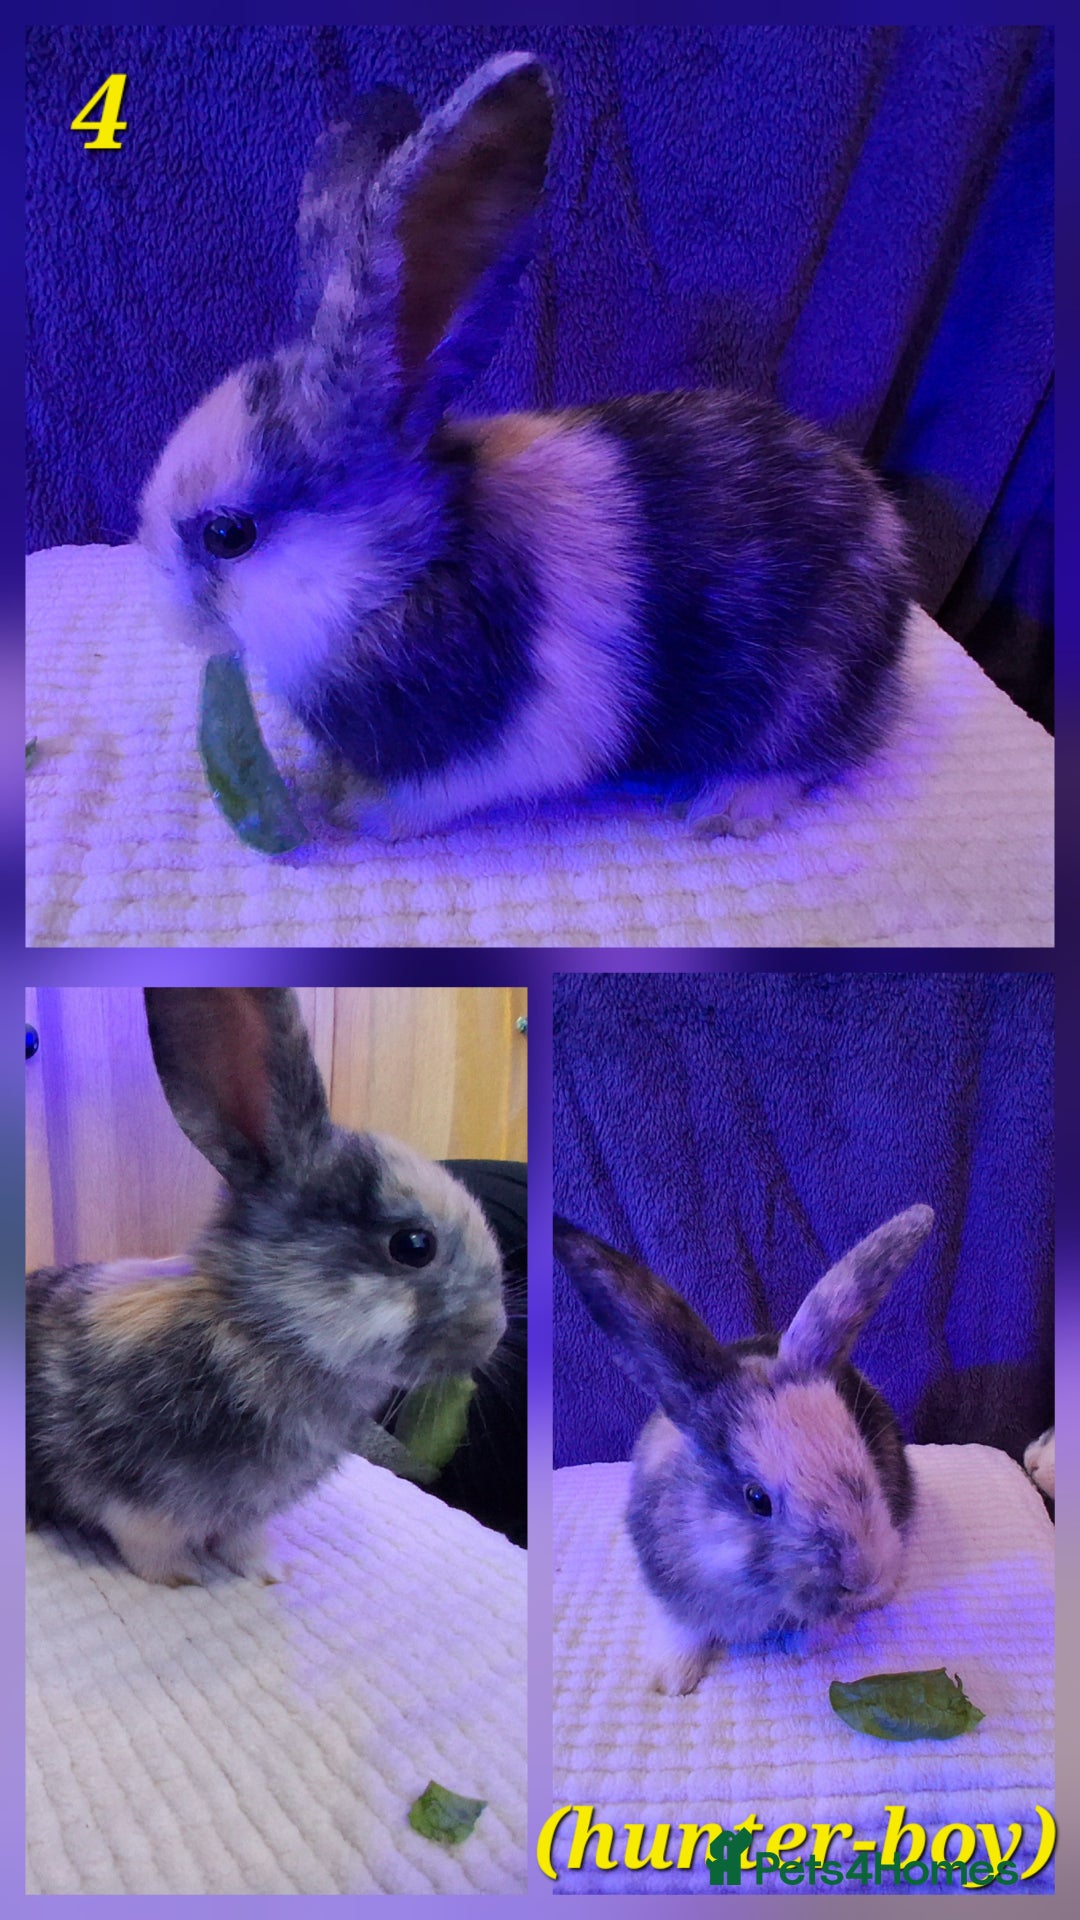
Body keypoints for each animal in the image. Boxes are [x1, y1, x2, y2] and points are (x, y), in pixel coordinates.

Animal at [26, 989, 506, 1586]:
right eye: (413, 1245)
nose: (493, 1332)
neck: (261, 1330)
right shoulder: (133, 1498)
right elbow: (149, 1546)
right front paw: (185, 1579)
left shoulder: (248, 1510)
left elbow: (244, 1540)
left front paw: (270, 1571)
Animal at [137, 51, 914, 843]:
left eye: (229, 535)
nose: (171, 617)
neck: (400, 567)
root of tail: (885, 532)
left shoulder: (514, 743)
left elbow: (440, 790)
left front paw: (362, 811)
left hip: (807, 691)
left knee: (823, 751)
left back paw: (727, 803)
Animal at [554, 1204, 933, 1694]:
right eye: (757, 1499)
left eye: (860, 1452)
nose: (864, 1576)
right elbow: (681, 1629)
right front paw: (672, 1679)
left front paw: (805, 1645)